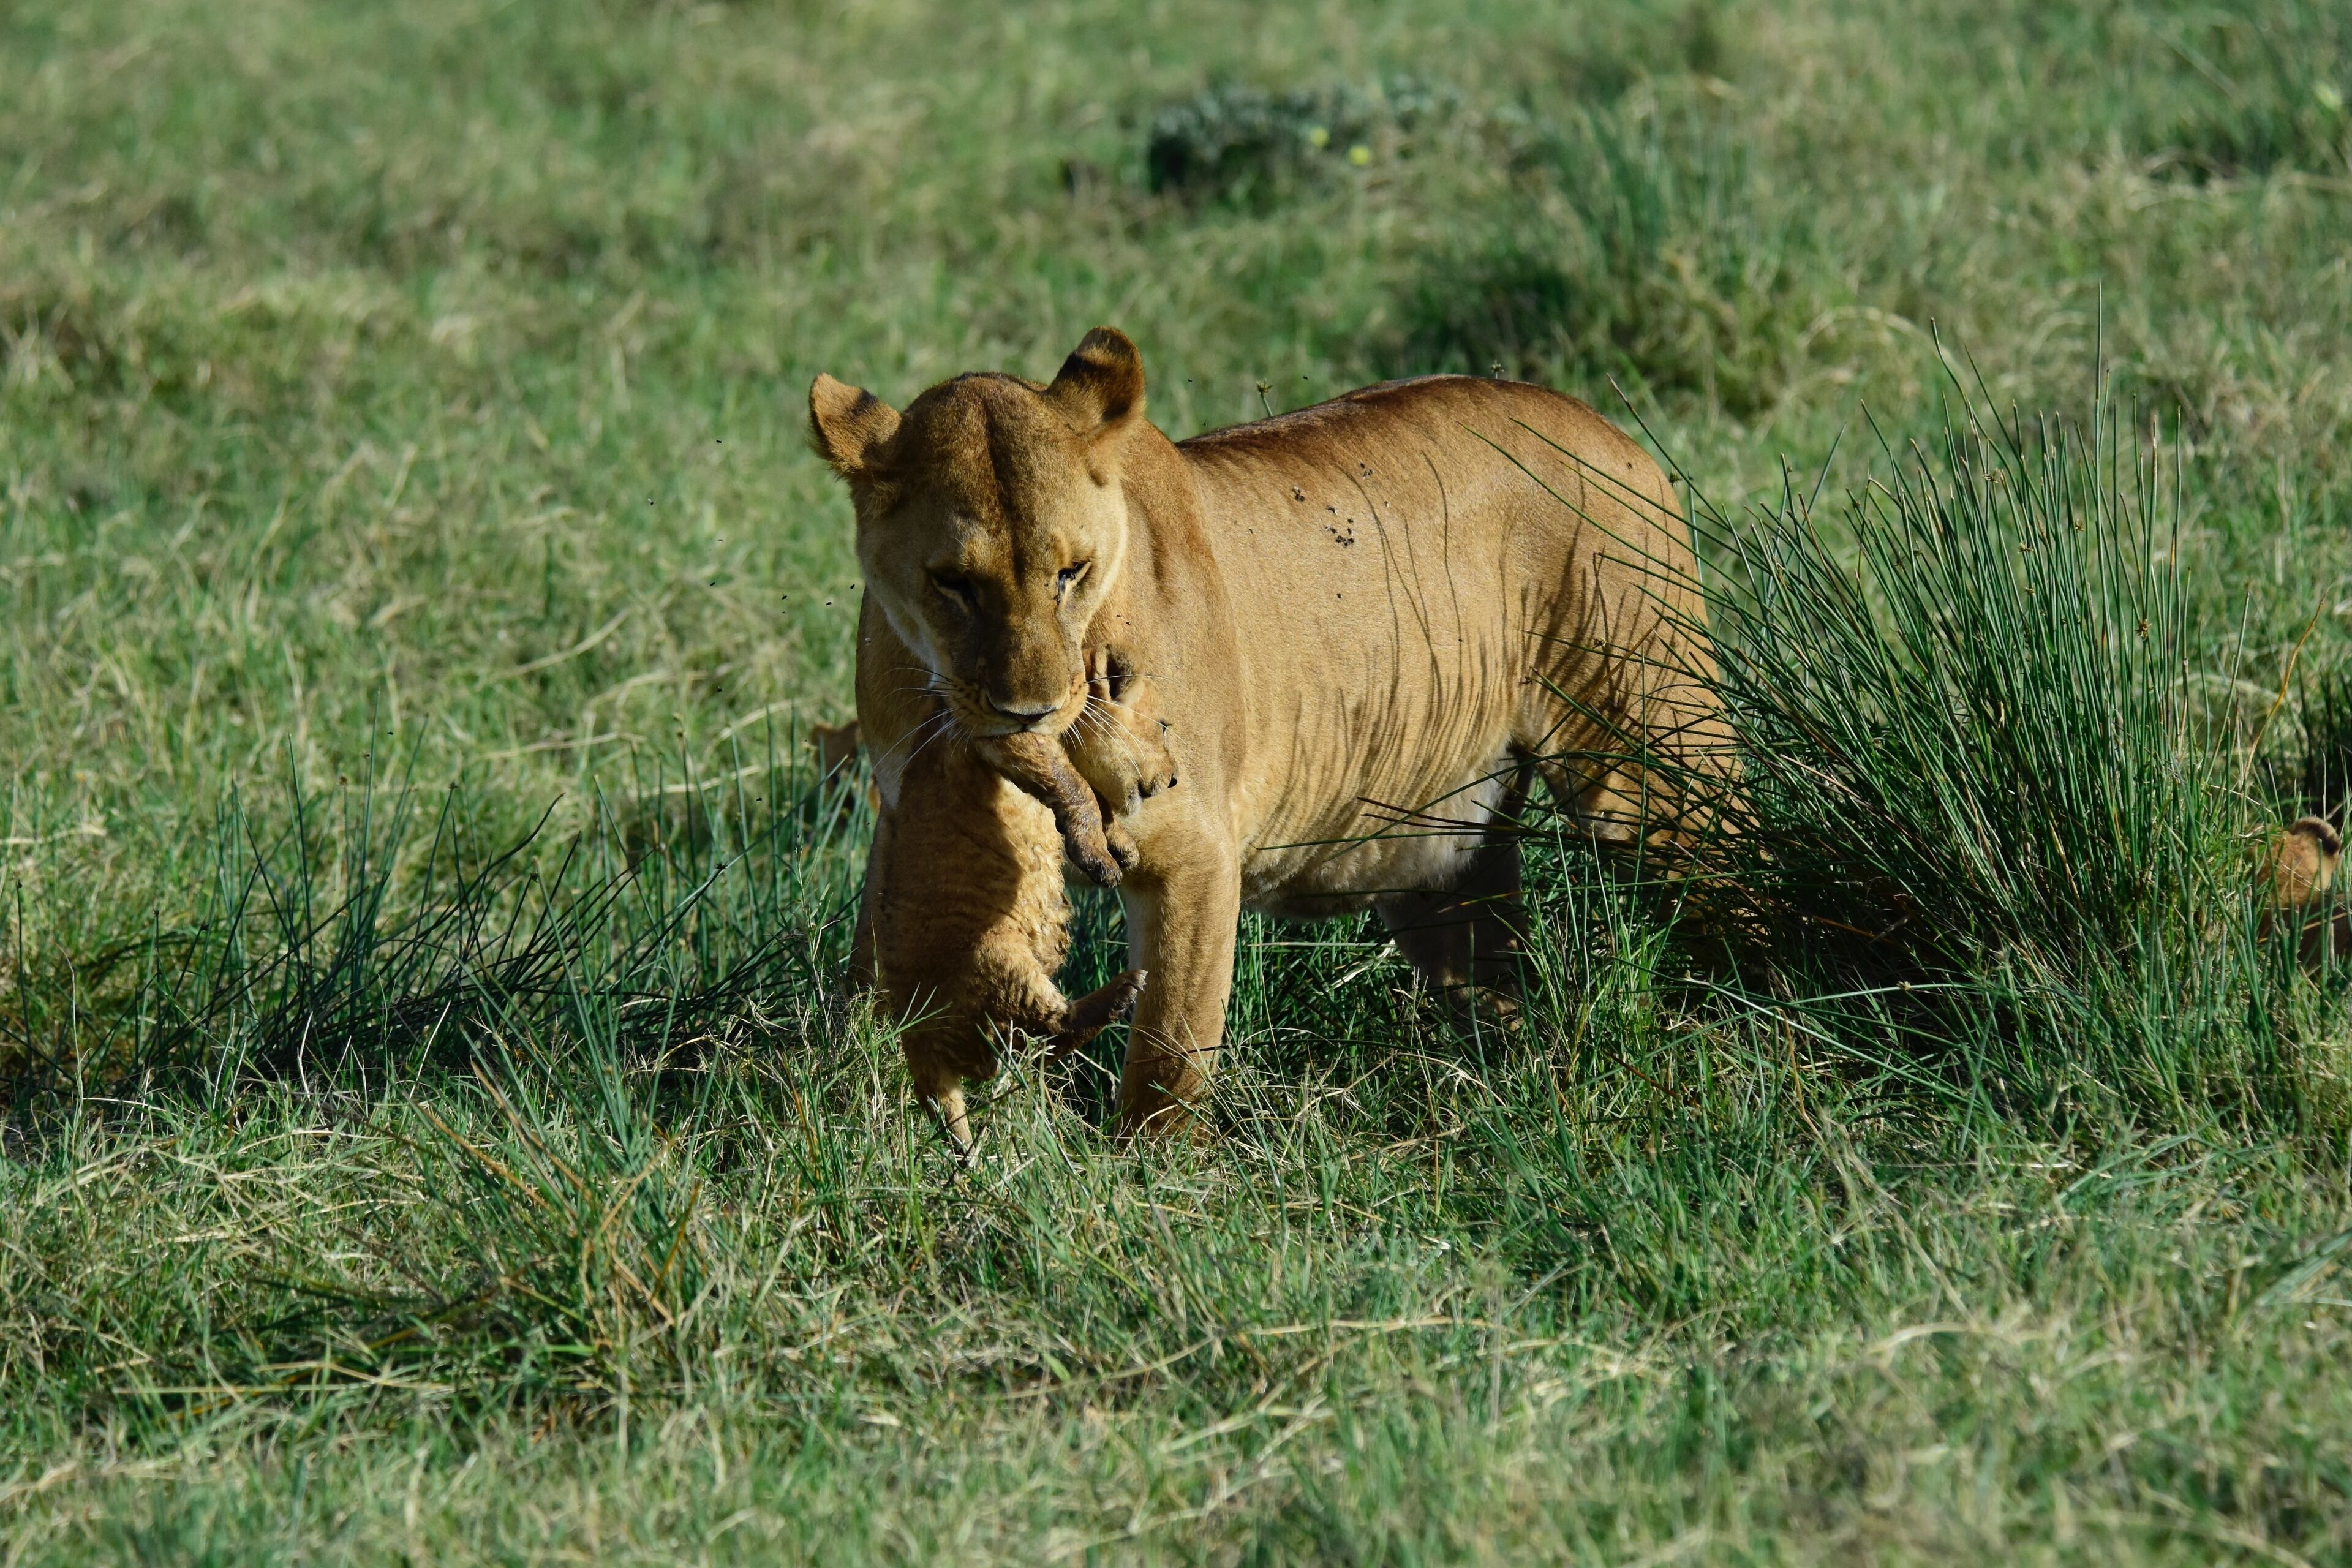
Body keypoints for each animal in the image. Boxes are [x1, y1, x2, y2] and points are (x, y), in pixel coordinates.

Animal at [812, 327, 1733, 1137]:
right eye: (951, 583)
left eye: (1071, 572)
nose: (1029, 711)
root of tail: (1612, 432)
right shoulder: (901, 818)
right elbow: (869, 972)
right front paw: (847, 1104)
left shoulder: (1192, 854)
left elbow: (1170, 1055)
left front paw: (1147, 1188)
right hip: (1444, 861)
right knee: (1494, 978)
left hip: (1653, 764)